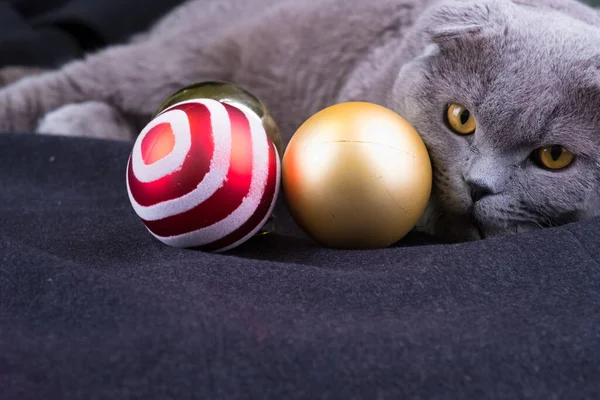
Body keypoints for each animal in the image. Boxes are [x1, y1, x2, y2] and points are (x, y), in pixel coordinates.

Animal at [1, 0, 600, 241]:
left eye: (554, 157)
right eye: (461, 119)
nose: (478, 187)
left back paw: (80, 122)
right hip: (185, 52)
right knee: (76, 77)